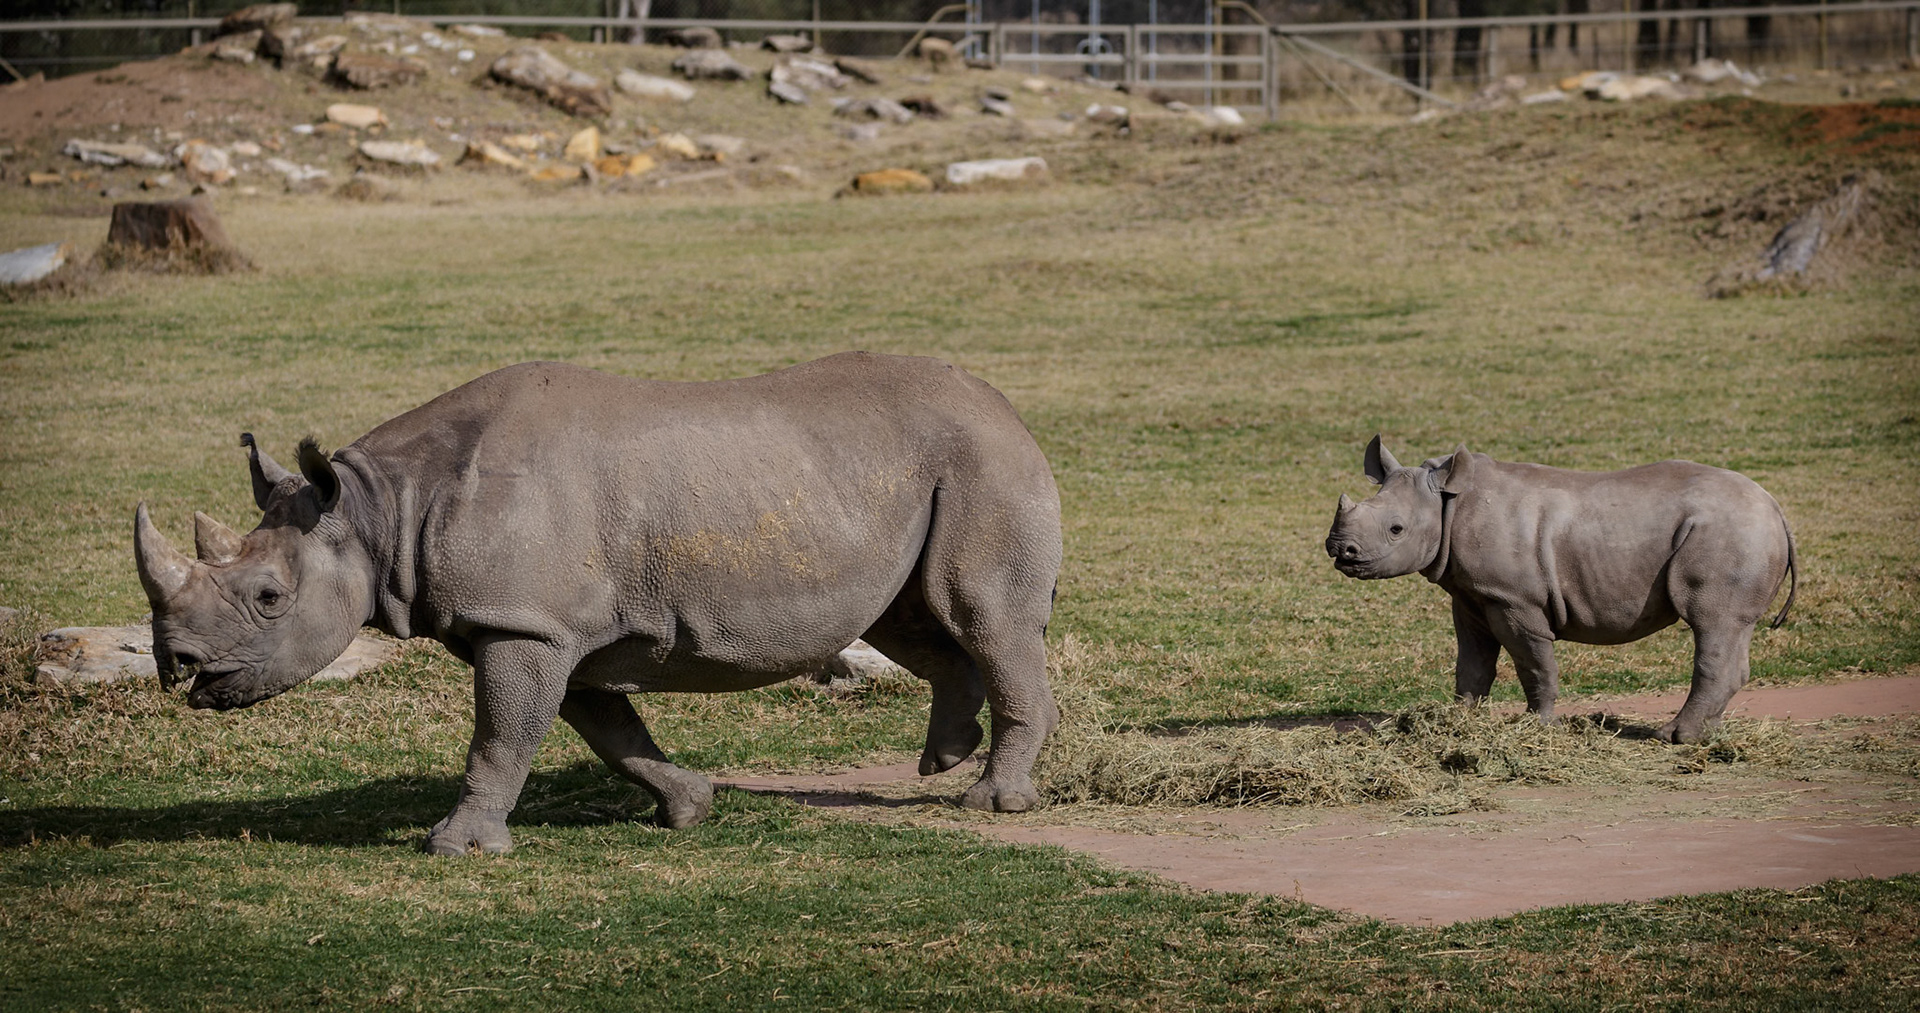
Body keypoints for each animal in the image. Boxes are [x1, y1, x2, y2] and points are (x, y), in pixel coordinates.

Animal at [133, 353, 1063, 855]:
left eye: (267, 596)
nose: (176, 663)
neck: (377, 511)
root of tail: (1007, 405)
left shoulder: (524, 622)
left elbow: (501, 736)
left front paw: (456, 847)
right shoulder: (548, 626)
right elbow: (609, 730)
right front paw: (687, 806)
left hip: (980, 460)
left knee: (981, 614)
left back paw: (992, 801)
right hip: (912, 471)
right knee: (909, 617)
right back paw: (944, 758)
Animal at [1324, 436, 1797, 744]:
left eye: (1396, 529)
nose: (1340, 550)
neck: (1448, 501)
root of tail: (1775, 506)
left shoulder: (1513, 598)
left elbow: (1533, 662)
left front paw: (1538, 726)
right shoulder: (1471, 594)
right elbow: (1472, 663)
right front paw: (1457, 723)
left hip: (1730, 532)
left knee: (1711, 622)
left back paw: (1673, 738)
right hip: (1741, 531)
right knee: (1730, 629)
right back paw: (1706, 734)